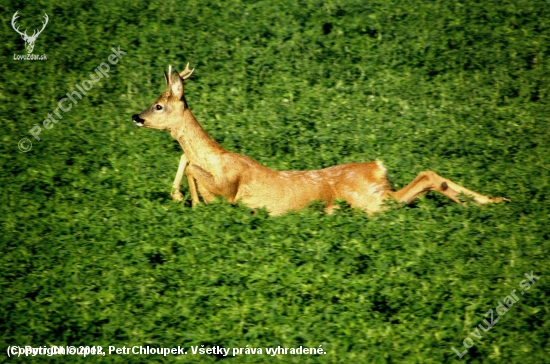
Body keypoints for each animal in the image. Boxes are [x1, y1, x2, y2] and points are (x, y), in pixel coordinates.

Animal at [132, 65, 512, 215]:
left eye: (158, 105)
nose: (136, 117)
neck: (216, 156)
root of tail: (379, 167)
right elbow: (186, 161)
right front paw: (182, 196)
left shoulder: (231, 186)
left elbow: (195, 172)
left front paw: (188, 199)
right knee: (430, 175)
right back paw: (495, 201)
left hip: (371, 201)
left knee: (422, 180)